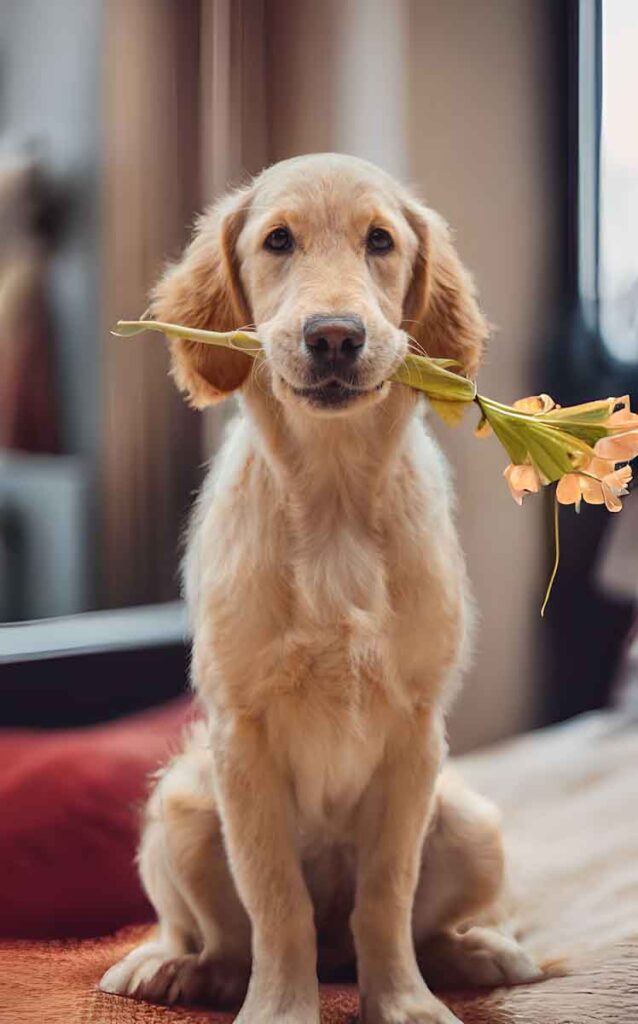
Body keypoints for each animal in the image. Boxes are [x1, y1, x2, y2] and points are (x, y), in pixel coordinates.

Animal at [100, 153, 544, 1024]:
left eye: (380, 240)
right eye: (278, 240)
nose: (334, 336)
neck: (335, 498)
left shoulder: (416, 733)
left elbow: (386, 897)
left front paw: (403, 1003)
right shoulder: (242, 736)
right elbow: (278, 903)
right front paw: (279, 1008)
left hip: (471, 822)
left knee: (421, 926)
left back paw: (479, 951)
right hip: (180, 807)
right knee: (221, 940)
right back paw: (176, 969)